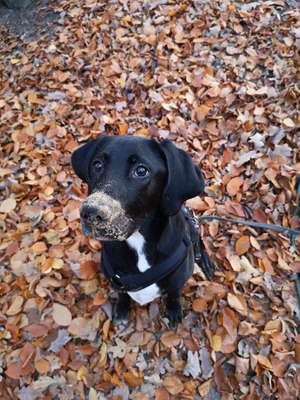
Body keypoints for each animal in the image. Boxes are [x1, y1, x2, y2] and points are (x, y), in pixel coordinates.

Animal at [72, 136, 213, 326]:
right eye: (97, 165)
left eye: (141, 170)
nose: (91, 213)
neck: (138, 240)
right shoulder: (117, 281)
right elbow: (123, 294)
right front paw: (122, 309)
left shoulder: (178, 280)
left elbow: (174, 294)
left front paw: (174, 310)